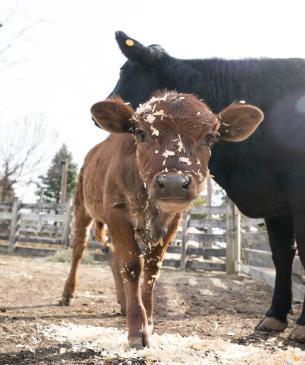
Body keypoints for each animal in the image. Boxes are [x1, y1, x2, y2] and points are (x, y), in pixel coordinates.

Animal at [60, 90, 262, 346]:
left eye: (210, 137)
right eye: (141, 133)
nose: (174, 183)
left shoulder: (172, 222)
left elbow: (151, 268)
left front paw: (148, 319)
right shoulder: (116, 212)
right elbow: (132, 266)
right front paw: (137, 329)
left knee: (112, 254)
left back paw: (123, 303)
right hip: (81, 206)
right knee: (79, 248)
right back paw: (67, 293)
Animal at [105, 31, 304, 342]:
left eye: (125, 71)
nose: (104, 103)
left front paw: (303, 325)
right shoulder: (275, 203)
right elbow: (282, 254)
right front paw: (274, 316)